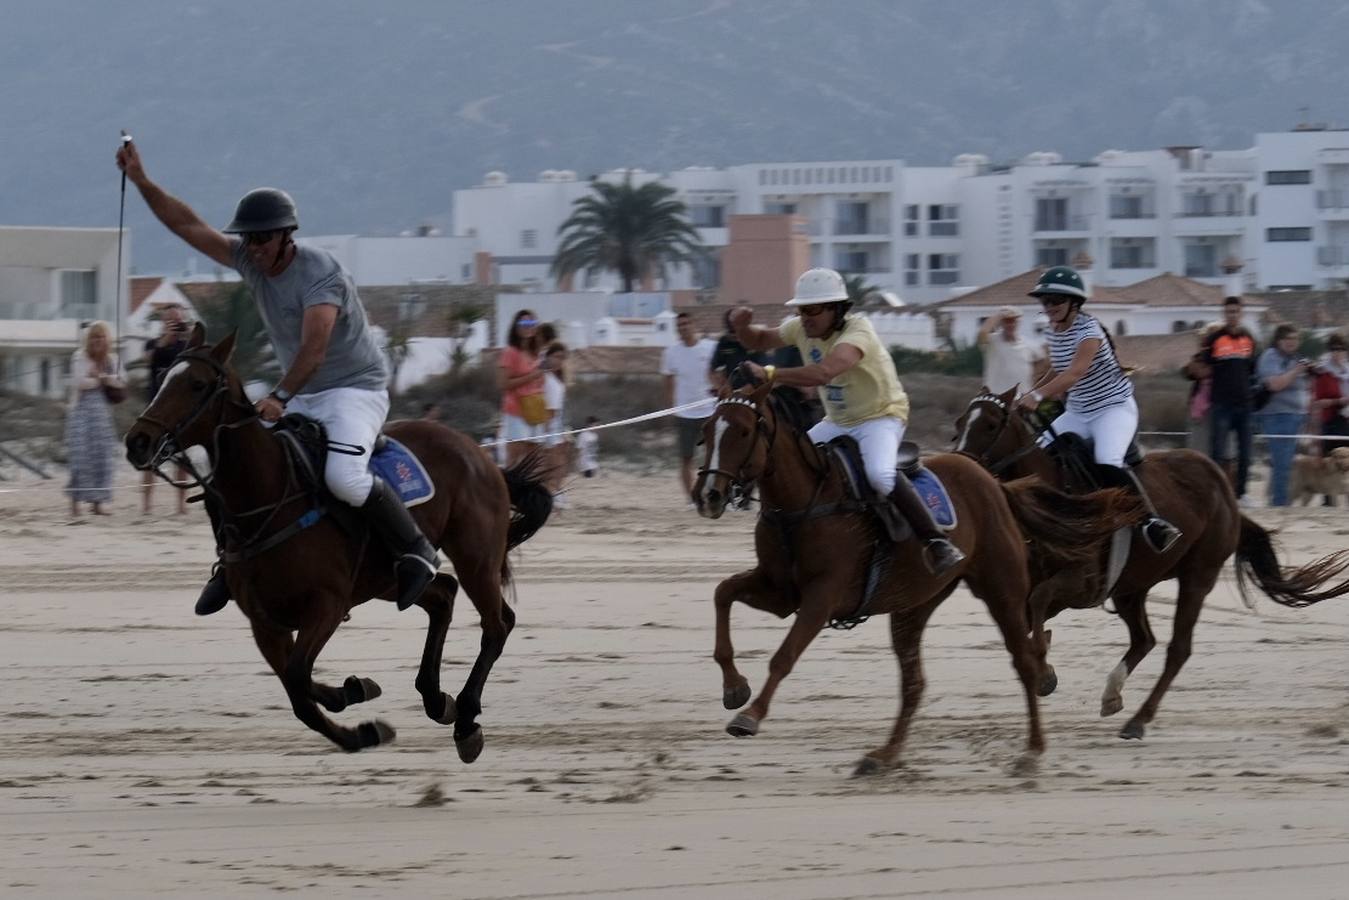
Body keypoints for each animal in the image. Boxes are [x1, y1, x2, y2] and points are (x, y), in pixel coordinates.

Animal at [122, 323, 553, 761]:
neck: (270, 498)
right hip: (388, 579)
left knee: (497, 624)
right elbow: (298, 695)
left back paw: (465, 719)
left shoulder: (326, 605)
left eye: (196, 384)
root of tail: (480, 454)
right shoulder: (265, 623)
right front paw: (361, 729)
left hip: (474, 557)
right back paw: (436, 699)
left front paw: (352, 692)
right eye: (163, 378)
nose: (138, 441)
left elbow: (298, 676)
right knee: (443, 595)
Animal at [696, 380, 1149, 777]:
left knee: (1023, 660)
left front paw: (750, 715)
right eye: (706, 429)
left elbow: (784, 656)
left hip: (1001, 587)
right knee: (914, 683)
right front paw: (734, 687)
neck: (805, 502)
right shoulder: (780, 591)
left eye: (742, 430)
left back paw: (1033, 750)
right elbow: (722, 593)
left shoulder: (822, 597)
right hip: (913, 604)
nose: (709, 495)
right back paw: (884, 755)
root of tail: (992, 481)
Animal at [955, 385, 1349, 739]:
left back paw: (1138, 720)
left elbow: (1038, 604)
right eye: (960, 423)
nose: (963, 465)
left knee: (1178, 648)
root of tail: (1224, 487)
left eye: (990, 424)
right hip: (1131, 587)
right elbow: (1026, 617)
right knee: (1145, 639)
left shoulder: (1080, 582)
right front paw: (1044, 665)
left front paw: (1045, 671)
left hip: (1198, 575)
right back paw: (1112, 696)